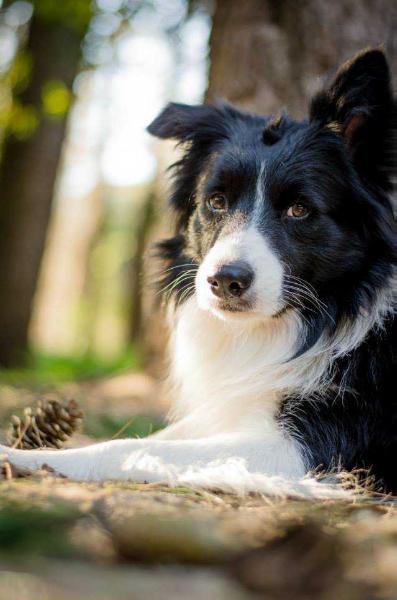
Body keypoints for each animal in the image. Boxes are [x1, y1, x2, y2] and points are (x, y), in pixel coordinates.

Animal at [1, 48, 394, 496]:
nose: (225, 281)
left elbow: (125, 448)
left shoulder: (310, 448)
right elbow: (156, 435)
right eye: (216, 201)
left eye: (299, 209)